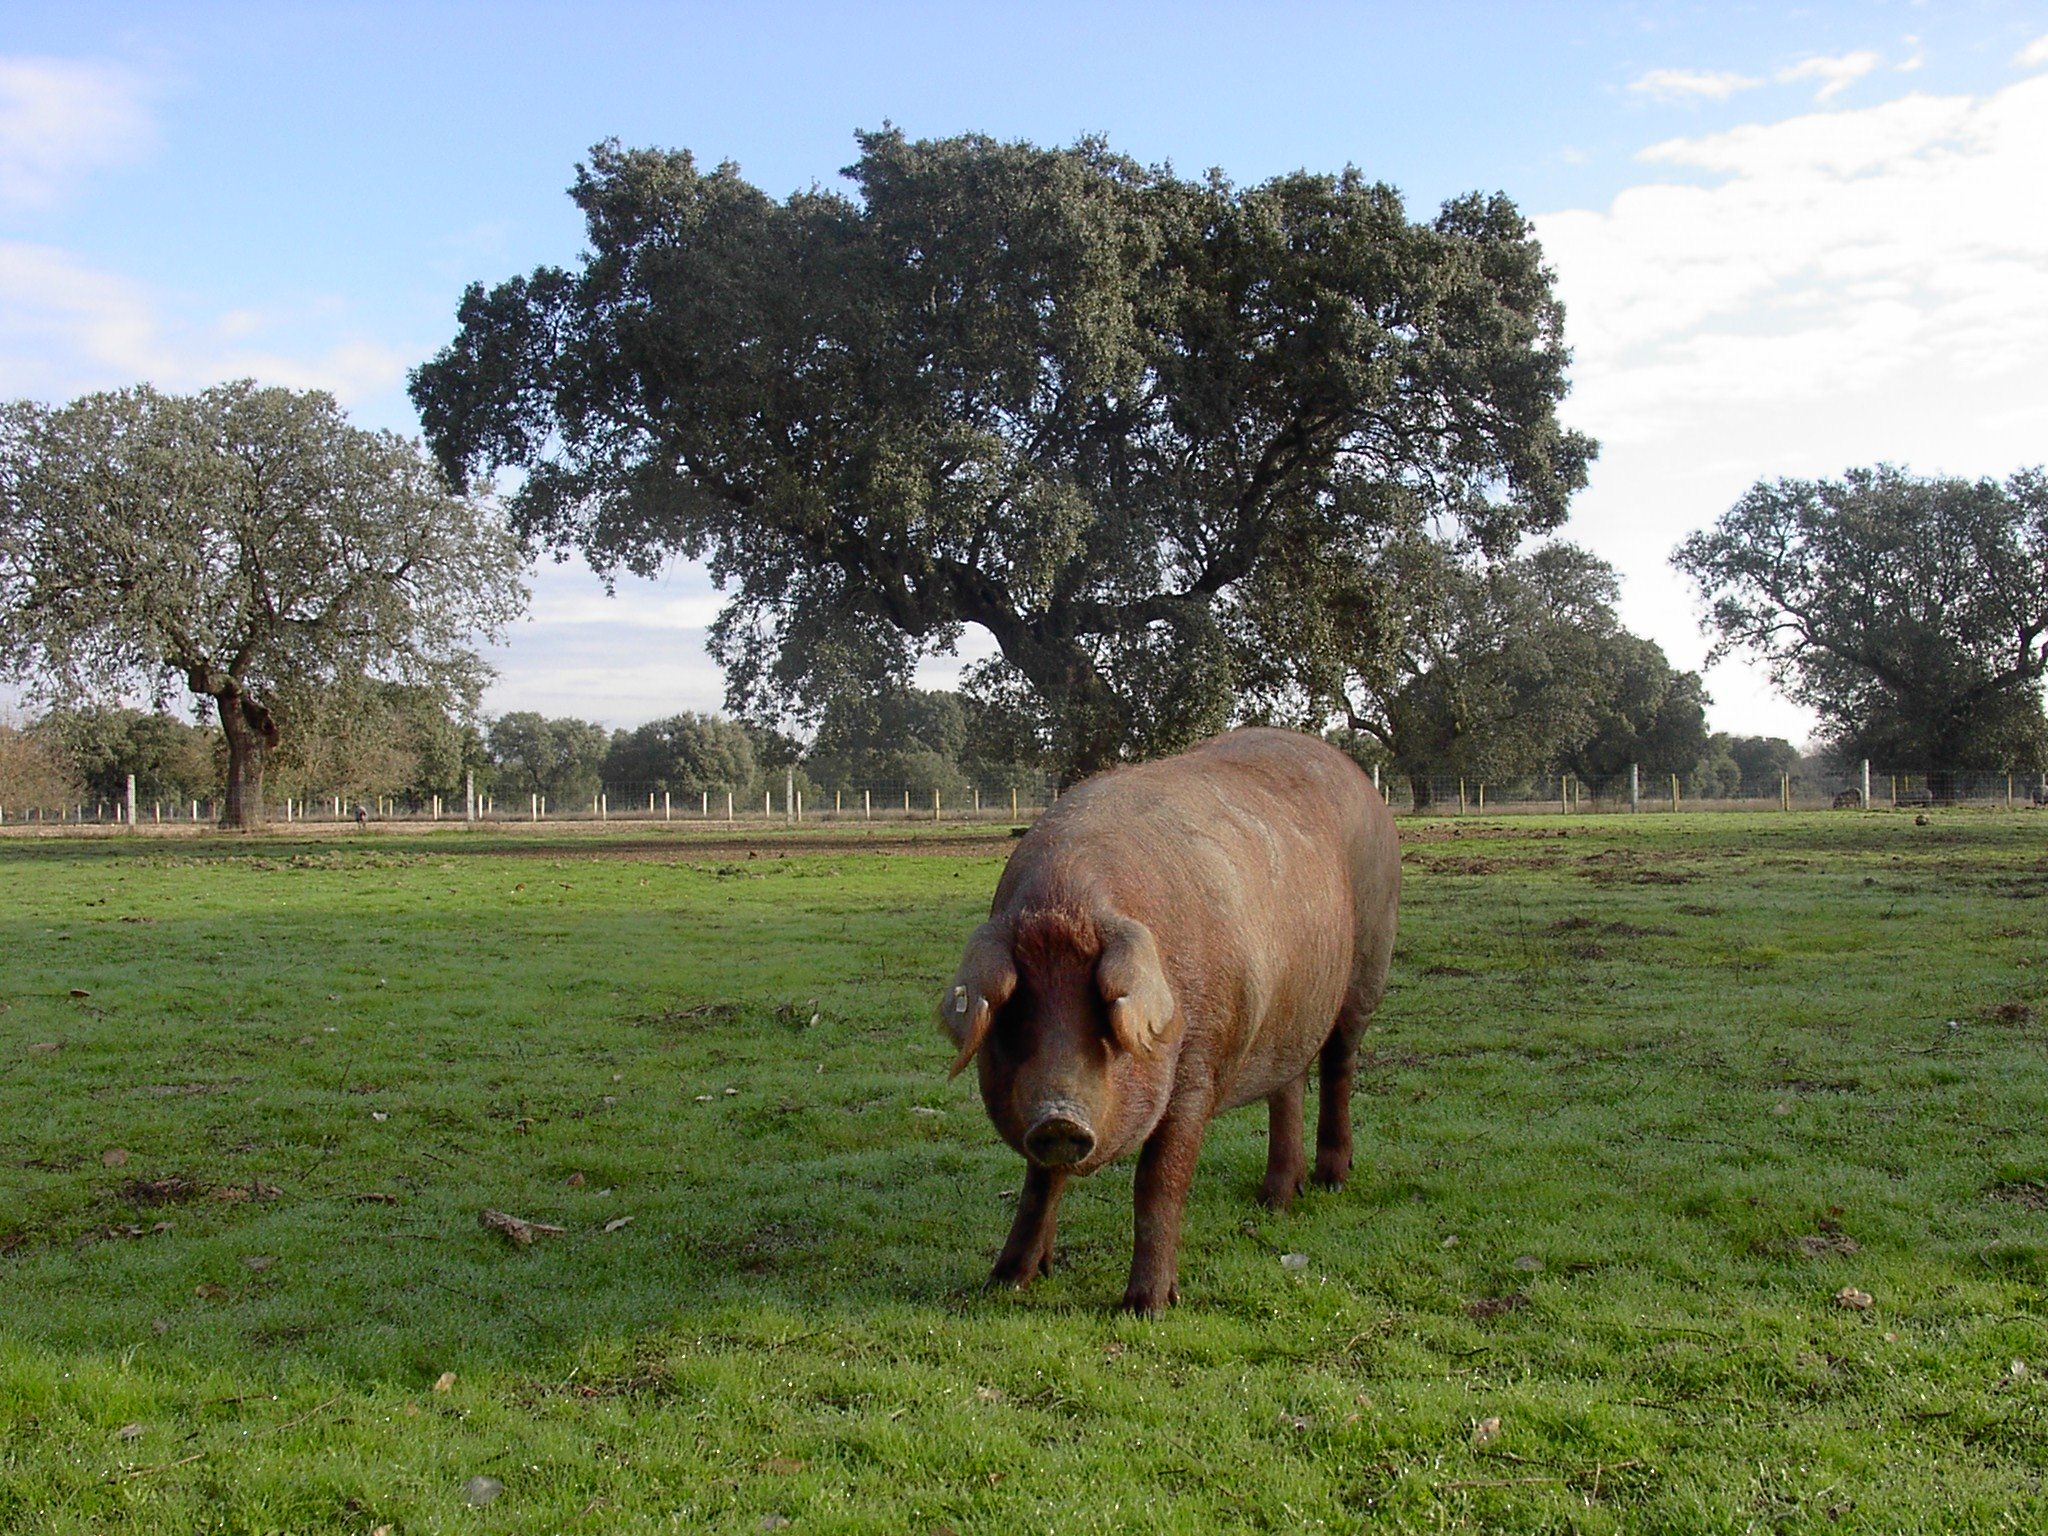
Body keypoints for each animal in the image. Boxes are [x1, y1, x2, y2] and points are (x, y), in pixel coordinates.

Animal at [937, 729, 1400, 1318]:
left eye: (1102, 1012)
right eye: (1018, 1012)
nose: (1059, 1118)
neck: (1065, 903)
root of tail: (1360, 777)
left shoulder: (1198, 1065)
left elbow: (1158, 1179)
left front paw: (1147, 1308)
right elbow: (1039, 1183)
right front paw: (1004, 1282)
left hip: (1369, 961)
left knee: (1339, 1063)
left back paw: (1331, 1184)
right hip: (1287, 1013)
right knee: (1288, 1085)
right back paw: (1274, 1201)